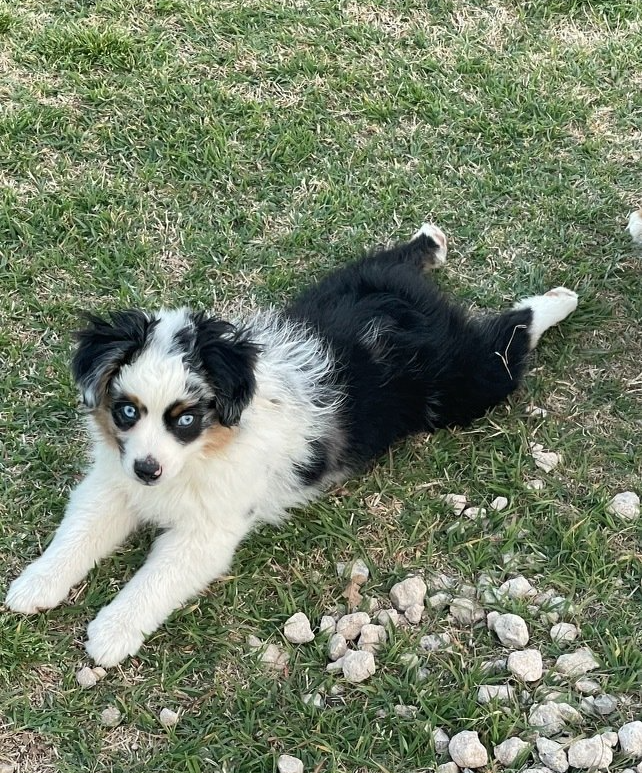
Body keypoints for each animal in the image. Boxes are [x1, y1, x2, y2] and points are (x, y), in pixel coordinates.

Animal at [3, 223, 576, 664]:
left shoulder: (208, 531)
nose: (147, 471)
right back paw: (428, 240)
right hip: (345, 281)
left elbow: (156, 579)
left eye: (186, 419)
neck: (200, 456)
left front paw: (112, 632)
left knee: (510, 337)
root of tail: (407, 311)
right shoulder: (112, 481)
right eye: (126, 411)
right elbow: (78, 532)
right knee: (395, 258)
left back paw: (557, 301)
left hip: (465, 382)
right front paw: (36, 585)